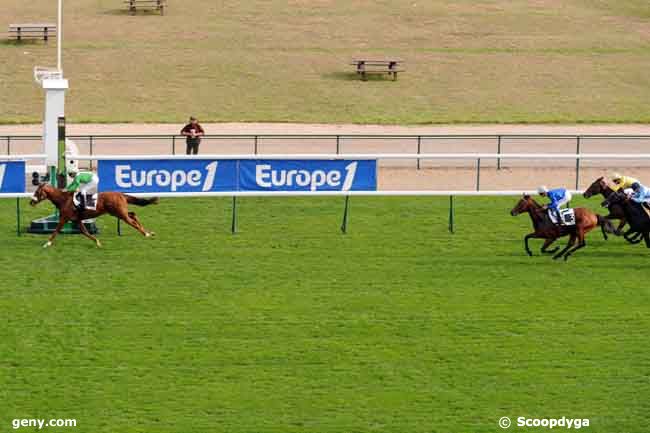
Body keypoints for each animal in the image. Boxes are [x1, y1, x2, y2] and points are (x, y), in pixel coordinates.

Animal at [30, 182, 158, 248]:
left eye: (37, 192)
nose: (31, 202)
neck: (63, 200)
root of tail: (120, 194)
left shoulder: (64, 218)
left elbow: (56, 230)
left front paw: (47, 243)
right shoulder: (77, 220)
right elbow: (85, 232)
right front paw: (97, 242)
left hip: (120, 213)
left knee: (132, 221)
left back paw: (146, 233)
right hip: (117, 212)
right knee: (133, 214)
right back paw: (149, 232)